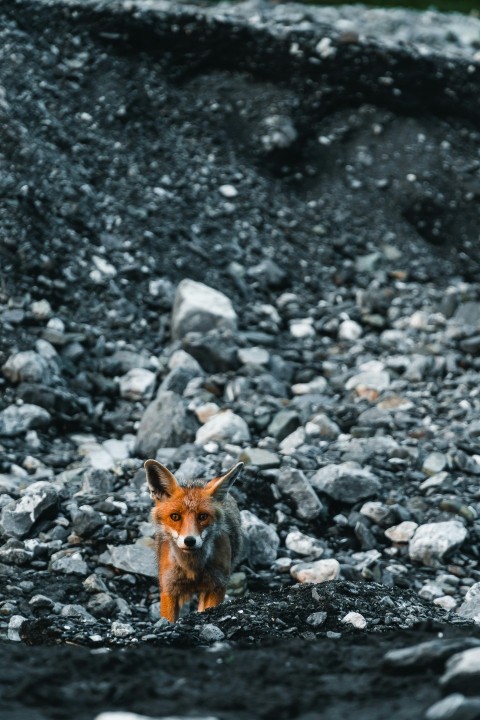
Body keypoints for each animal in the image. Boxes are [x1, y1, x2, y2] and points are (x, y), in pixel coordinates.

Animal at [144, 458, 244, 623]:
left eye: (203, 516)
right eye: (175, 516)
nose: (189, 541)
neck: (192, 569)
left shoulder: (217, 585)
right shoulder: (169, 588)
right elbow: (169, 619)